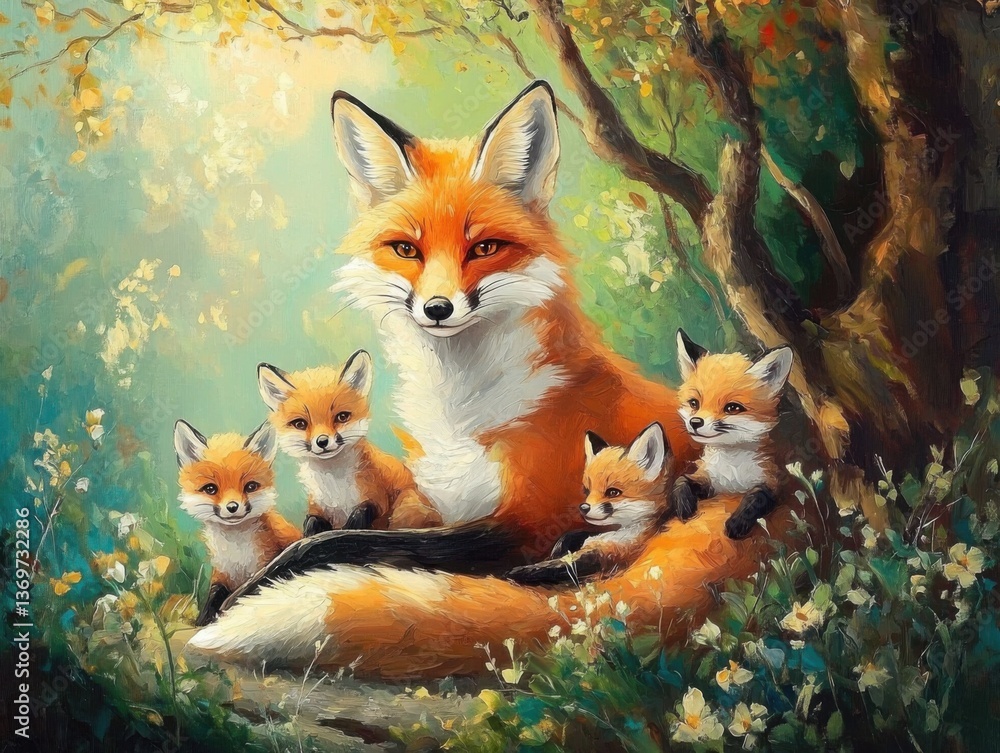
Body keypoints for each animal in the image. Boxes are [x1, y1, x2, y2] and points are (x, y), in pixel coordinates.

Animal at [173, 420, 300, 626]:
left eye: (250, 486)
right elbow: (213, 596)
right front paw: (203, 619)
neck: (238, 554)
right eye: (210, 489)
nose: (232, 507)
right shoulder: (221, 574)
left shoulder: (264, 568)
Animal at [257, 349, 442, 535]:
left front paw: (352, 525)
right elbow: (312, 522)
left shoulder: (377, 497)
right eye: (300, 424)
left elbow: (363, 512)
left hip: (406, 507)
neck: (336, 488)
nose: (322, 441)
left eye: (342, 417)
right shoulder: (318, 508)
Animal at [506, 423, 671, 586]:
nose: (584, 508)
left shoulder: (602, 556)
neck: (619, 533)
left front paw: (518, 572)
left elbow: (557, 567)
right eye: (587, 491)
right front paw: (557, 550)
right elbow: (570, 536)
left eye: (613, 492)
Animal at [670, 330, 793, 539]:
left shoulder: (773, 482)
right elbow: (681, 480)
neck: (731, 471)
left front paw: (737, 522)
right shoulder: (710, 482)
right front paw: (684, 505)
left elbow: (756, 497)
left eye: (732, 408)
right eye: (694, 403)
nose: (695, 423)